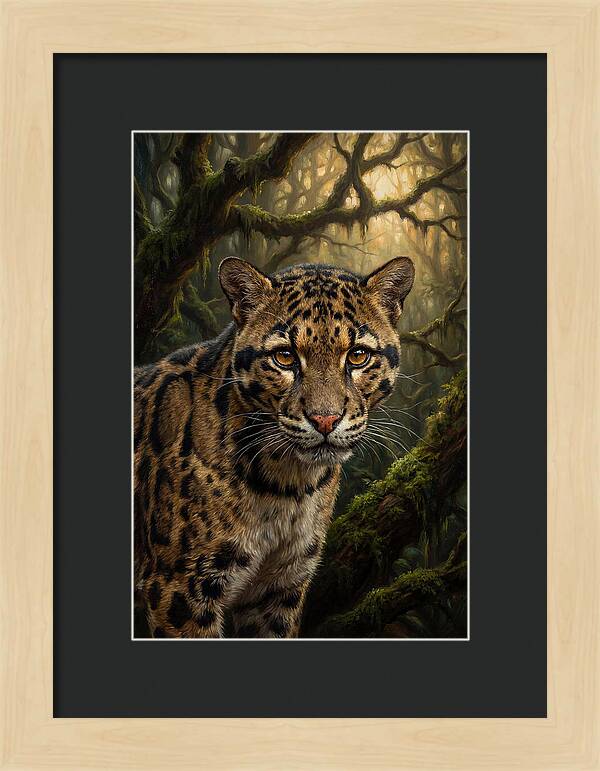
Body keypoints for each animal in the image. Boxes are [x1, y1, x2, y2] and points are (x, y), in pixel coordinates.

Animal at [134, 255, 415, 638]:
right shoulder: (179, 587)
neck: (287, 485)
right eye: (285, 357)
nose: (325, 420)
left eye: (358, 356)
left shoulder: (280, 587)